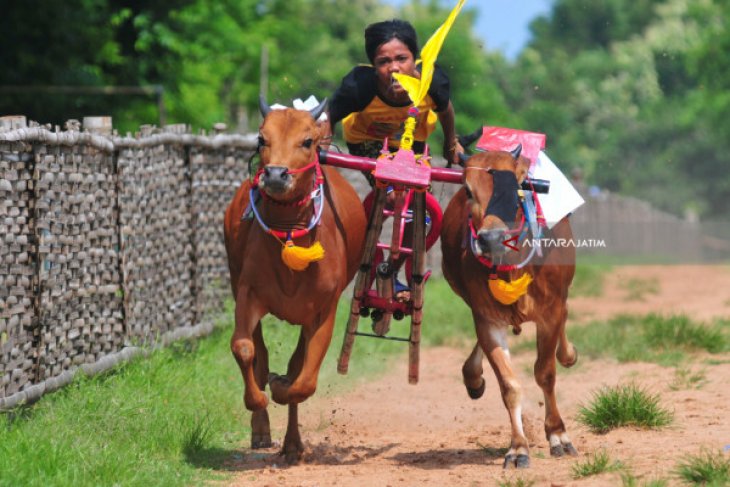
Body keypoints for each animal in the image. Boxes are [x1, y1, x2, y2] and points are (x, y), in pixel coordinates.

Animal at [223, 99, 364, 466]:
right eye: (262, 139)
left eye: (307, 141)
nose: (275, 174)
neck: (290, 232)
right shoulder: (247, 293)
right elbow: (245, 349)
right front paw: (258, 401)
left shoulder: (324, 311)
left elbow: (304, 381)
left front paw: (282, 387)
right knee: (259, 357)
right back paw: (262, 428)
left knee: (296, 368)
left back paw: (292, 444)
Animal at [438, 148, 580, 468]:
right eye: (468, 190)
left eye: (516, 186)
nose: (490, 239)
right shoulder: (486, 318)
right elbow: (509, 385)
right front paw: (518, 449)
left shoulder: (550, 312)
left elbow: (545, 373)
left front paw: (558, 436)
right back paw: (473, 377)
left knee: (564, 329)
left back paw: (568, 353)